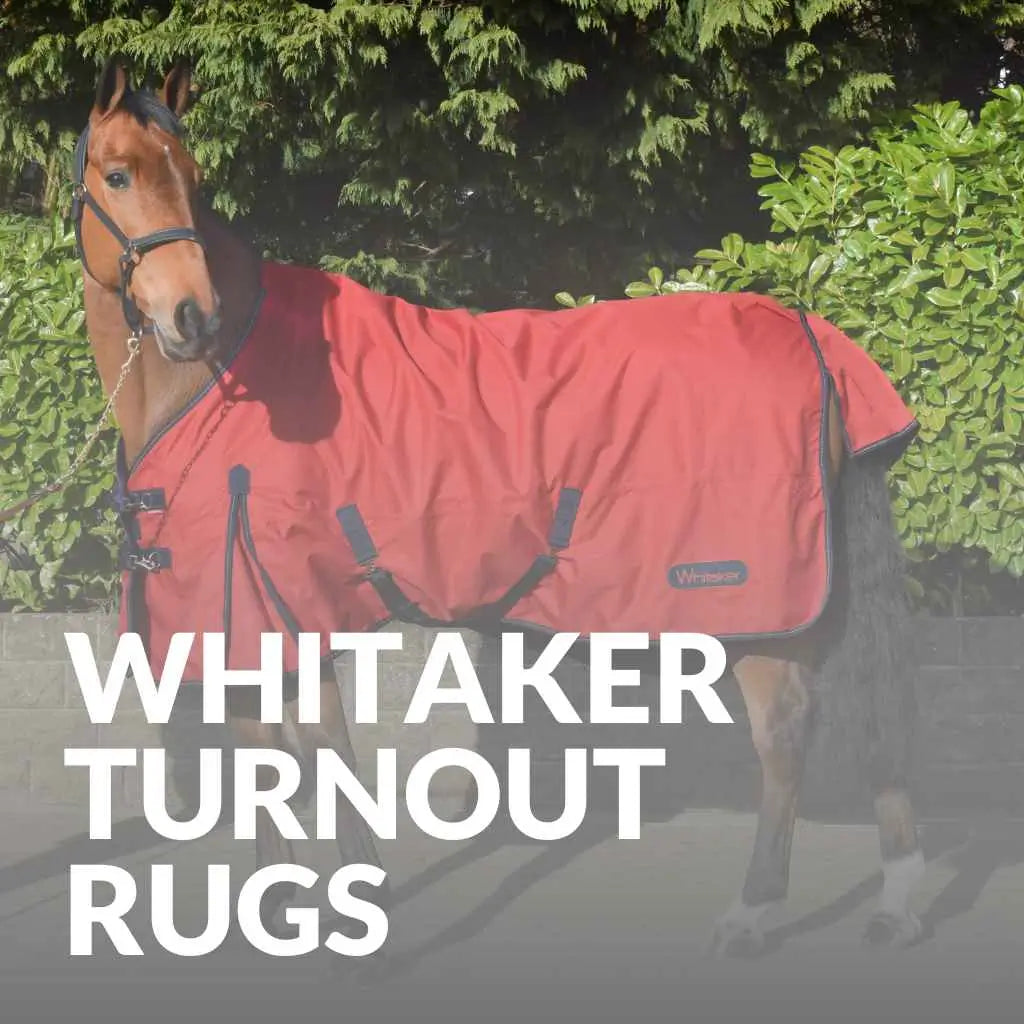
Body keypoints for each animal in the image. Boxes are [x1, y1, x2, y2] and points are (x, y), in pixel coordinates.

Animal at [73, 58, 925, 957]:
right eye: (118, 174)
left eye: (194, 179)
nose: (191, 316)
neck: (229, 376)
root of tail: (808, 331)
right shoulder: (250, 619)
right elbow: (269, 759)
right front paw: (274, 913)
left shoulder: (289, 602)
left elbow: (325, 755)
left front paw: (357, 924)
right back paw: (895, 902)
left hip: (755, 603)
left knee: (787, 735)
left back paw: (753, 911)